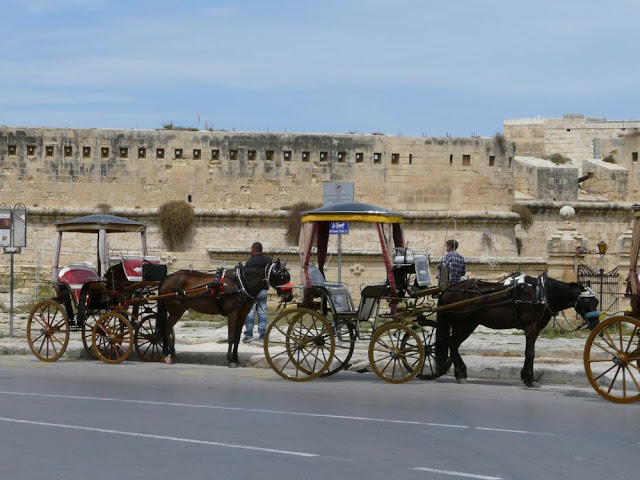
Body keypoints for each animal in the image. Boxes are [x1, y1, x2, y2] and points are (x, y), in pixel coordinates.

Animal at [157, 258, 292, 368]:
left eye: (288, 276)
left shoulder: (242, 315)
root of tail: (167, 278)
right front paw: (230, 360)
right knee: (167, 327)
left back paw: (167, 351)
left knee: (166, 328)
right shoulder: (232, 314)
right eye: (281, 277)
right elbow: (231, 337)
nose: (289, 297)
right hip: (176, 311)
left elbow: (237, 338)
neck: (240, 282)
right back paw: (171, 353)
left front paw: (236, 359)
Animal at [432, 272, 604, 388]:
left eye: (596, 301)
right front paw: (530, 378)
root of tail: (447, 290)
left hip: (468, 324)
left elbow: (530, 352)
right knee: (453, 344)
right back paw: (460, 374)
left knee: (452, 345)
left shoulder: (536, 329)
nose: (596, 323)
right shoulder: (531, 328)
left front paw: (527, 377)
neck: (541, 293)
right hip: (463, 324)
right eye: (586, 302)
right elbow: (530, 353)